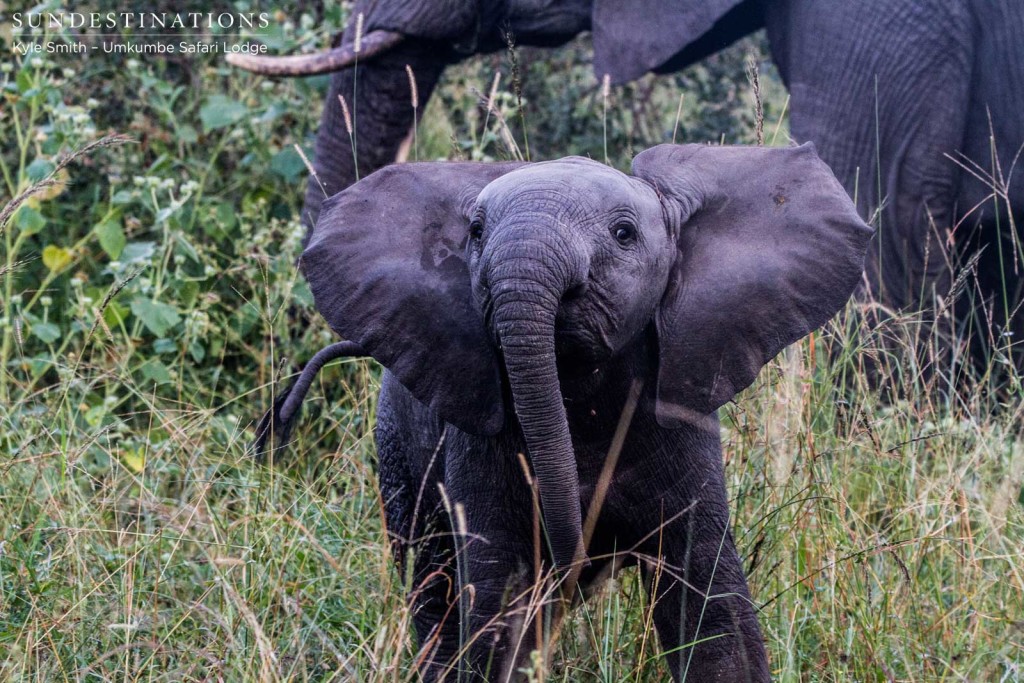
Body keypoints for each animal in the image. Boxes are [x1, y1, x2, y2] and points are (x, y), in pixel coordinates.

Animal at [258, 143, 872, 679]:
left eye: (623, 234)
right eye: (474, 233)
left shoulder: (680, 421)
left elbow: (710, 609)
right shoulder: (481, 441)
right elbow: (499, 604)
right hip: (396, 444)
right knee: (432, 584)